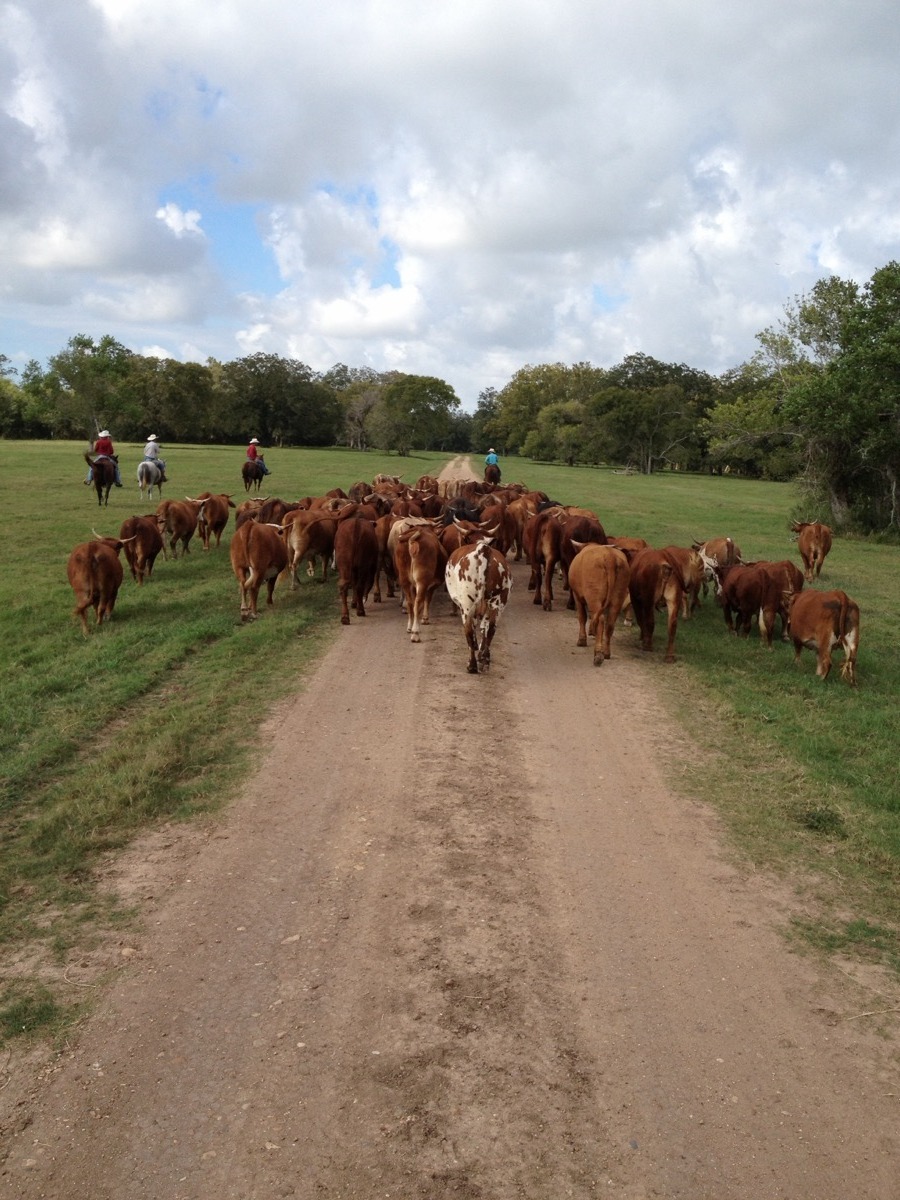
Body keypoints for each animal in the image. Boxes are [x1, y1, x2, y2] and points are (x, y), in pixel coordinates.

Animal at [445, 539, 512, 674]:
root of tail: (483, 548)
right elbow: (483, 629)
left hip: (467, 604)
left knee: (469, 630)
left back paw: (472, 665)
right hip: (498, 601)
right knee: (490, 629)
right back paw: (484, 661)